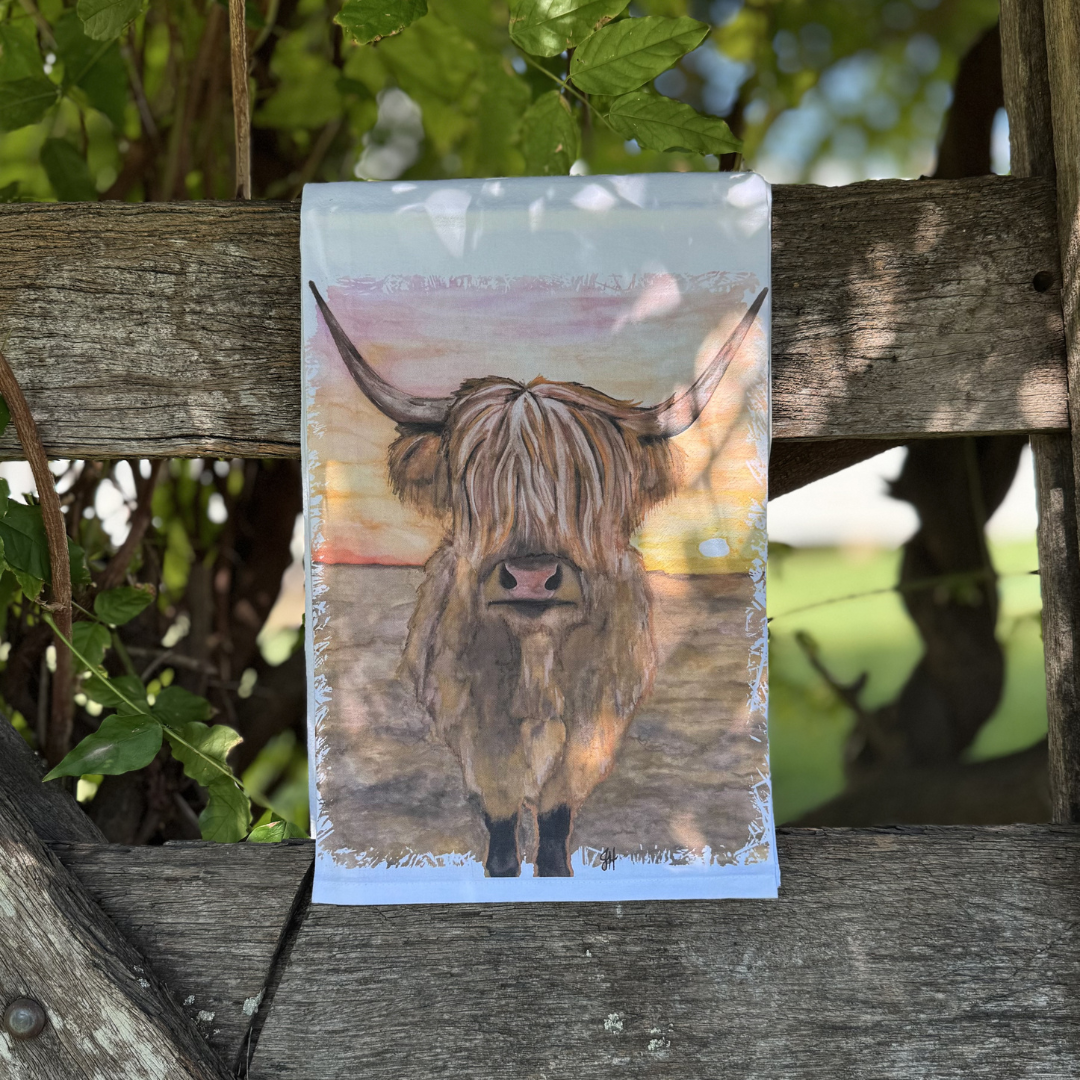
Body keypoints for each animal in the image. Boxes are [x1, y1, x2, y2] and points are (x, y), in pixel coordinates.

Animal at [310, 281, 767, 877]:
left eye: (587, 483)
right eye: (473, 479)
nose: (530, 577)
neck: (536, 659)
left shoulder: (591, 729)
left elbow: (554, 822)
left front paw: (554, 870)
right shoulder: (479, 733)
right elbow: (501, 819)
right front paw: (502, 868)